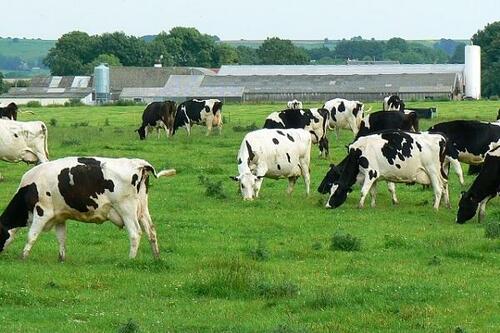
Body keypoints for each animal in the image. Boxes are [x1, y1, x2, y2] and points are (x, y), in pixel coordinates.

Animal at [0, 156, 176, 260]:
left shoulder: (42, 212)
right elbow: (61, 238)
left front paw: (23, 256)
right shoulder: (59, 216)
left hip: (126, 208)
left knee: (135, 233)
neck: (29, 188)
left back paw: (130, 259)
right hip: (142, 209)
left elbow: (31, 235)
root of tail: (139, 163)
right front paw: (61, 258)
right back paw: (157, 258)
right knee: (151, 231)